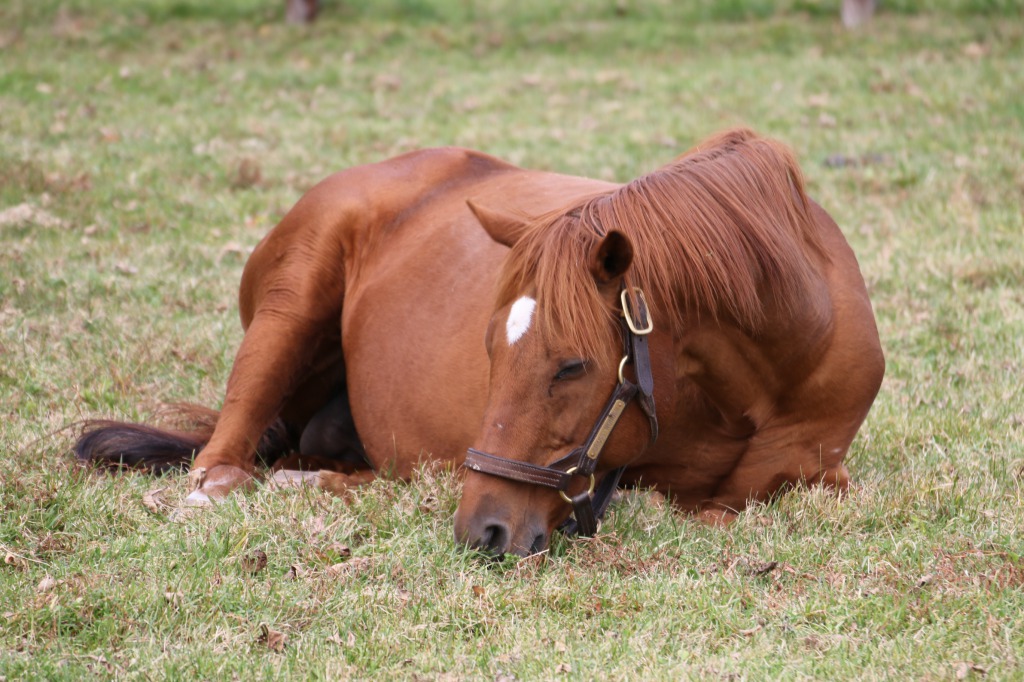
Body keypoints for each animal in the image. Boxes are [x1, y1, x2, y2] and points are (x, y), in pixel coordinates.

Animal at [74, 129, 888, 557]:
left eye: (573, 365)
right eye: (491, 350)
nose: (482, 529)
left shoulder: (820, 473)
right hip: (291, 301)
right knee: (224, 467)